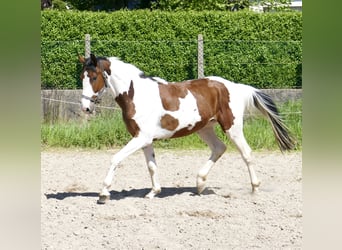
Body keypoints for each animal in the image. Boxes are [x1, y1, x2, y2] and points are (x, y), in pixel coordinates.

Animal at [78, 53, 294, 204]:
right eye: (82, 76)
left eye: (94, 77)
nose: (86, 107)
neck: (135, 95)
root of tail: (236, 87)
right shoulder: (144, 139)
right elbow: (151, 166)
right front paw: (153, 192)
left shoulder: (141, 138)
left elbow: (115, 158)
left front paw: (103, 194)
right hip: (204, 128)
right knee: (219, 148)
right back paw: (199, 184)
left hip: (232, 127)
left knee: (246, 154)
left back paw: (254, 189)